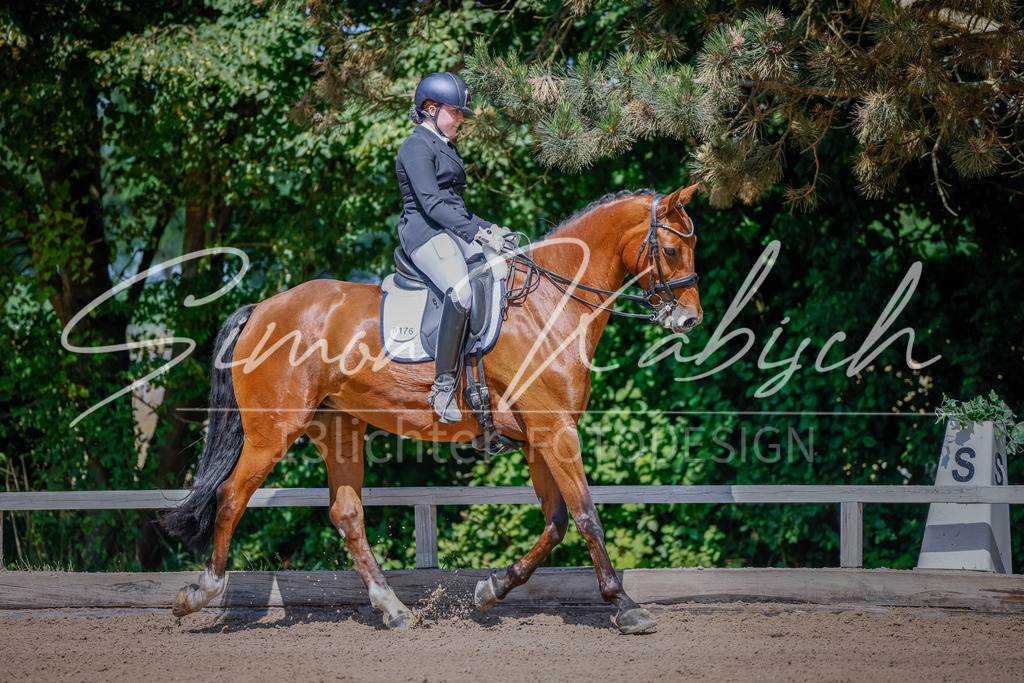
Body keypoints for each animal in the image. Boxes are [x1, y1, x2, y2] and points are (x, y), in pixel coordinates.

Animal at [164, 184, 703, 634]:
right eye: (671, 250)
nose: (689, 320)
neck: (551, 302)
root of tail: (261, 309)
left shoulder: (540, 438)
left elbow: (555, 522)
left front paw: (490, 590)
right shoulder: (556, 433)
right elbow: (587, 515)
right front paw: (625, 607)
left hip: (338, 428)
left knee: (346, 514)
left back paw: (395, 609)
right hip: (273, 430)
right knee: (231, 497)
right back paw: (199, 593)